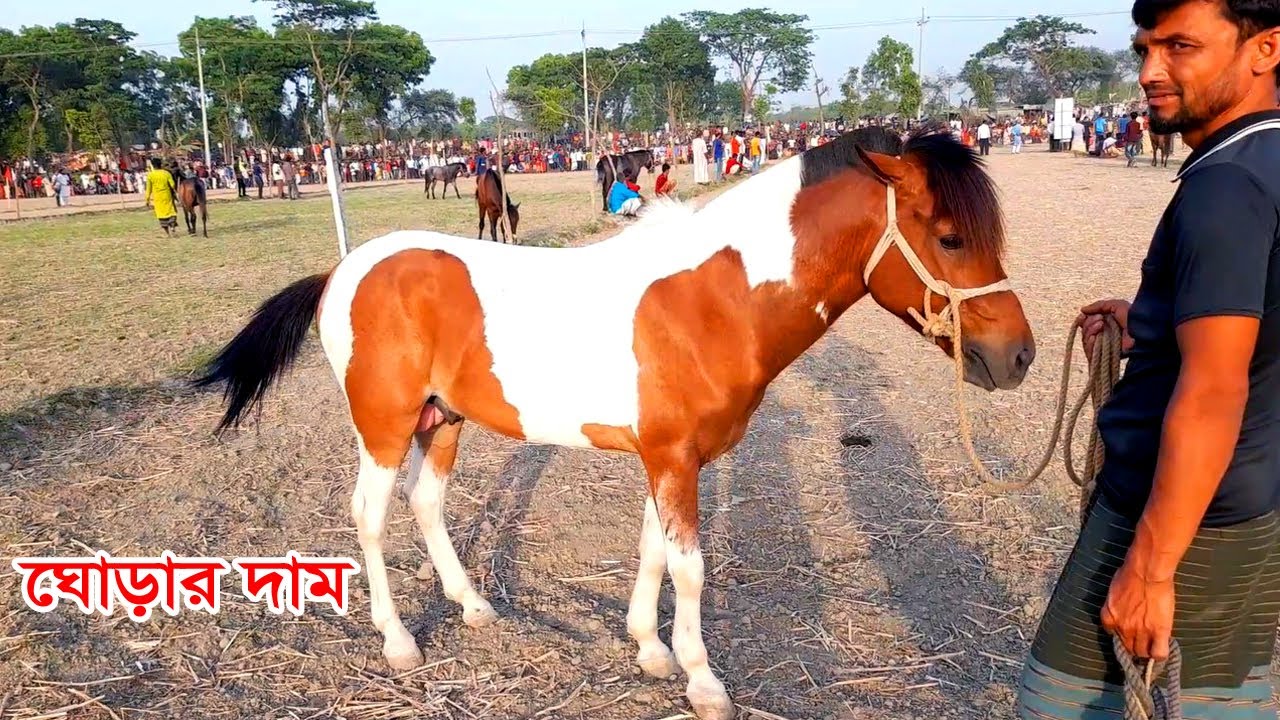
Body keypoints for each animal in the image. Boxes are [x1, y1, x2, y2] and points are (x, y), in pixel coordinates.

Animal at [194, 123, 1035, 720]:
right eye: (949, 237)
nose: (1016, 357)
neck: (714, 301)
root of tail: (343, 269)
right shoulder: (673, 458)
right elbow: (690, 567)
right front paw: (701, 681)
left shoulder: (668, 458)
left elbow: (653, 549)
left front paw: (650, 651)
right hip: (386, 426)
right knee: (369, 514)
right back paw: (399, 642)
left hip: (446, 419)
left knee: (425, 504)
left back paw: (473, 607)